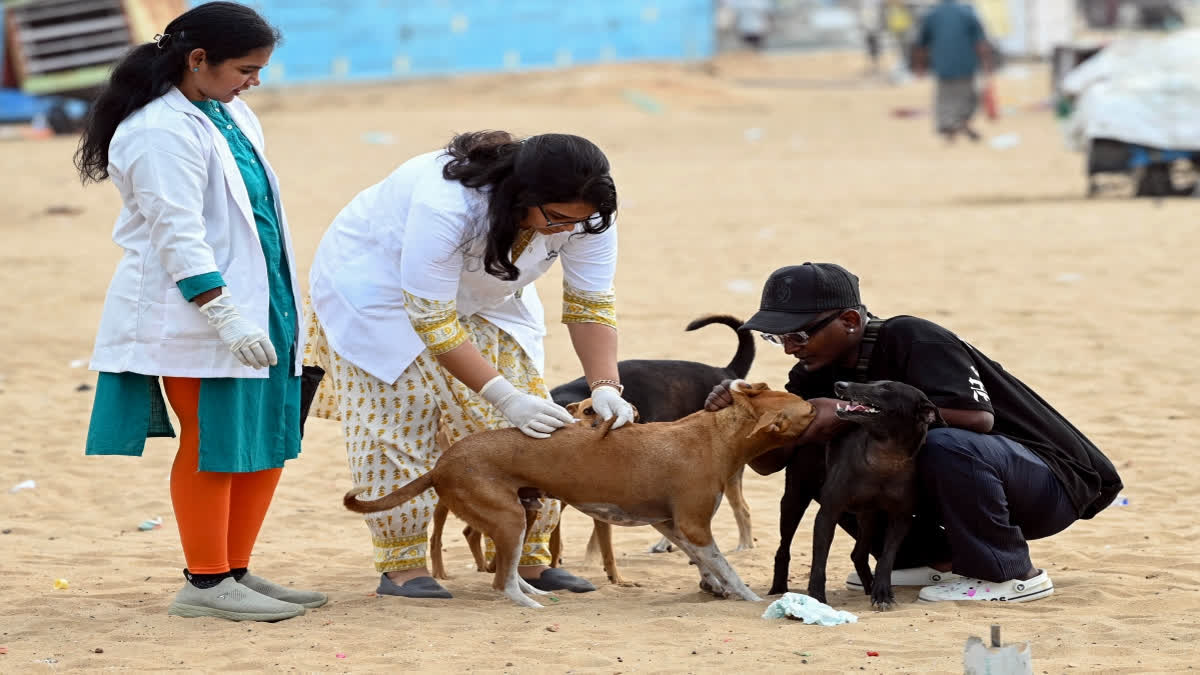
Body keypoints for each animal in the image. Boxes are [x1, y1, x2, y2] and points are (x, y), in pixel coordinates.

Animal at [427, 398, 633, 583]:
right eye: (588, 411)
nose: (598, 426)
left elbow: (606, 548)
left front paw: (617, 578)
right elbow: (555, 543)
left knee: (471, 532)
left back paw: (484, 566)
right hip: (452, 499)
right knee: (436, 536)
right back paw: (440, 571)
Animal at [768, 381, 945, 607]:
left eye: (885, 388)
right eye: (873, 382)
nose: (840, 384)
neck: (884, 458)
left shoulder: (901, 518)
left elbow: (887, 559)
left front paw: (882, 593)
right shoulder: (828, 513)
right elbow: (819, 561)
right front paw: (816, 597)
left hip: (869, 516)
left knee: (858, 554)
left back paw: (870, 587)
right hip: (795, 498)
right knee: (783, 548)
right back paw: (778, 587)